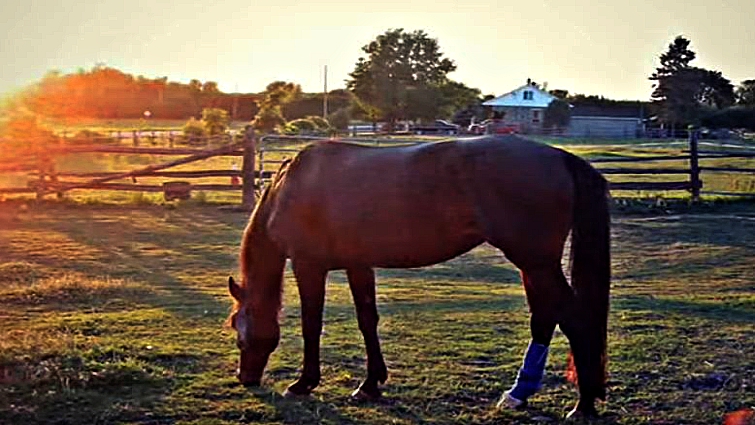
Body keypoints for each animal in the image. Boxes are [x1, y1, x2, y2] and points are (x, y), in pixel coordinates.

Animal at [226, 135, 611, 419]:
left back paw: (583, 405)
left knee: (573, 319)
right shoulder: (358, 264)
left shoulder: (309, 265)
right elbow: (367, 320)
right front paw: (370, 384)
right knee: (545, 318)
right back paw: (519, 394)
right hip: (533, 265)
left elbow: (311, 324)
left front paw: (304, 383)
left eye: (237, 330)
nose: (245, 379)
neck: (291, 186)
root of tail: (558, 156)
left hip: (536, 262)